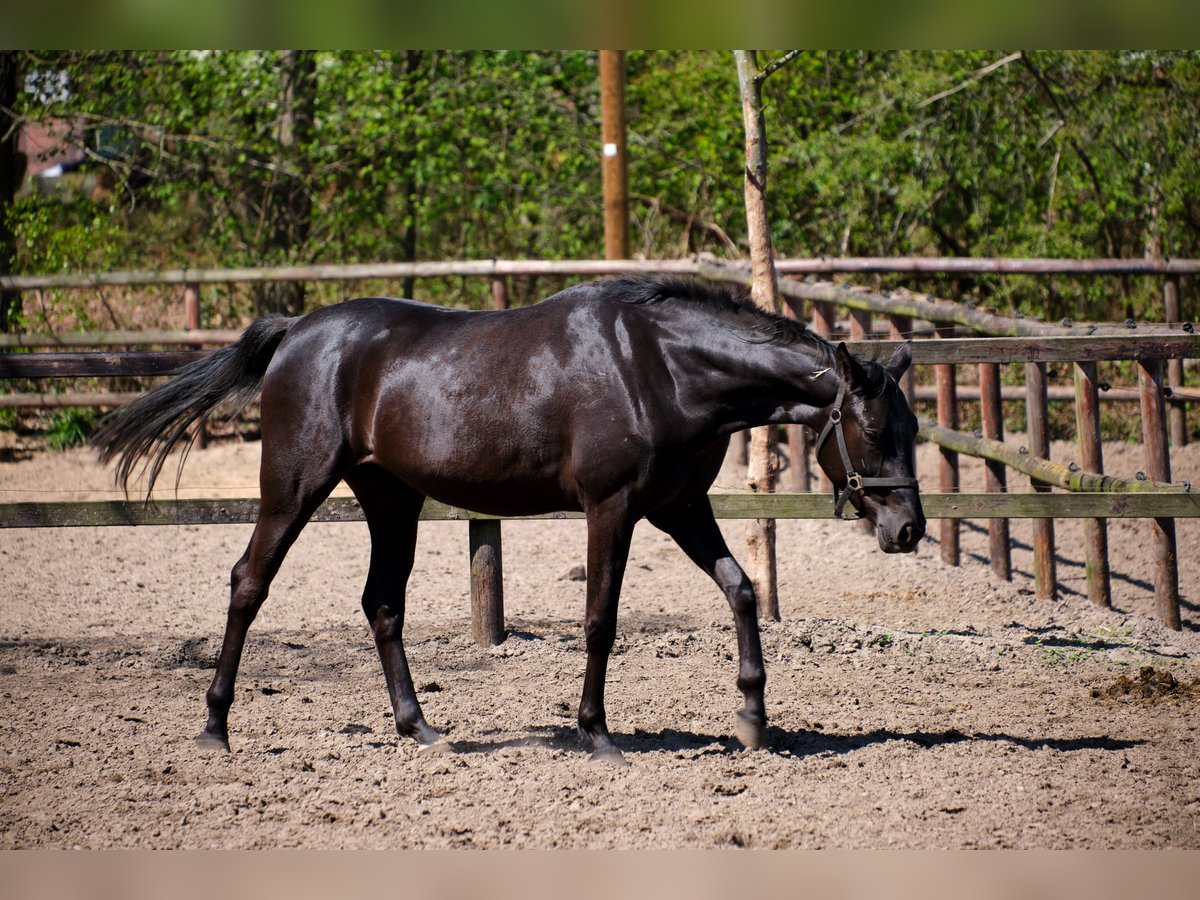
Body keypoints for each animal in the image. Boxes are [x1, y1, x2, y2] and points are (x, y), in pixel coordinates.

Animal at [93, 274, 921, 763]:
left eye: (914, 429)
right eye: (876, 429)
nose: (908, 530)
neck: (661, 367)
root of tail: (298, 332)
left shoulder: (678, 507)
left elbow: (742, 589)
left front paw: (752, 716)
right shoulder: (613, 508)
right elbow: (600, 621)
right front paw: (595, 732)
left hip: (390, 499)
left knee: (382, 603)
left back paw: (419, 727)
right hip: (294, 489)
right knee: (248, 584)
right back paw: (214, 728)